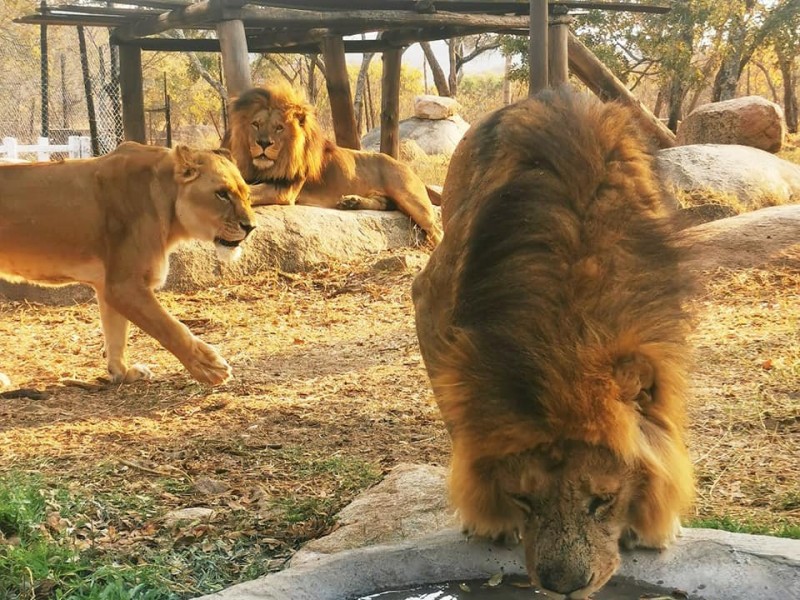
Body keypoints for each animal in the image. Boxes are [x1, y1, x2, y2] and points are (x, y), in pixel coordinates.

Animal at [0, 142, 255, 386]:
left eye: (247, 195)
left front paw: (122, 373)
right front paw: (210, 367)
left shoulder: (108, 285)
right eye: (222, 194)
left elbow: (116, 334)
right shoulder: (124, 286)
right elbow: (170, 327)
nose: (251, 227)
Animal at [222, 85, 443, 246]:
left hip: (411, 200)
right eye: (255, 124)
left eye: (279, 128)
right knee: (383, 203)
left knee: (437, 230)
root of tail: (408, 168)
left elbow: (251, 191)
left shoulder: (284, 190)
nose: (263, 143)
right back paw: (351, 202)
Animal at [412, 88, 695, 598]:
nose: (565, 586)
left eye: (603, 499)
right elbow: (461, 424)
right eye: (523, 498)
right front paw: (486, 518)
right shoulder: (428, 300)